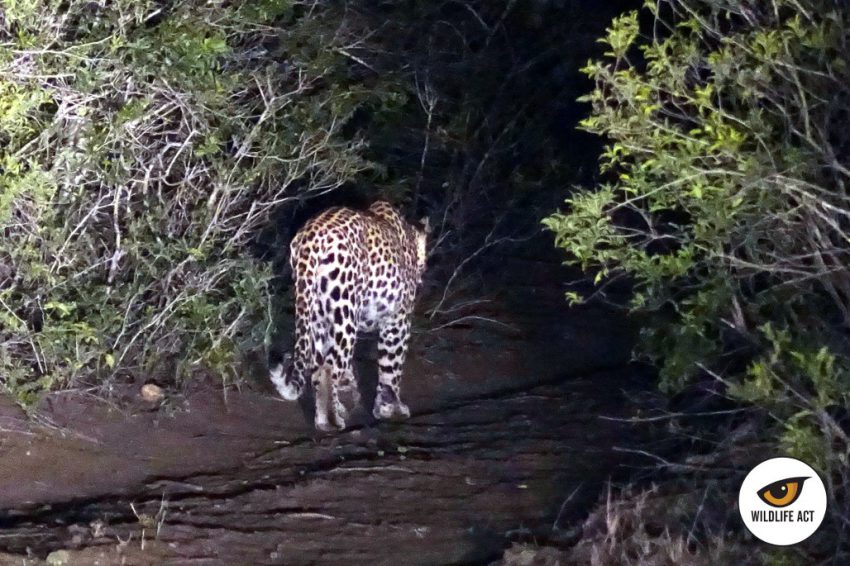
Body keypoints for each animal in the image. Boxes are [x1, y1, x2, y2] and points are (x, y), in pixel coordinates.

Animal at [268, 202, 428, 432]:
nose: (423, 274)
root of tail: (311, 236)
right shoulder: (398, 320)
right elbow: (391, 366)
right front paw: (391, 409)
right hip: (345, 316)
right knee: (328, 369)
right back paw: (331, 421)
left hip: (316, 316)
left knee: (318, 367)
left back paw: (326, 415)